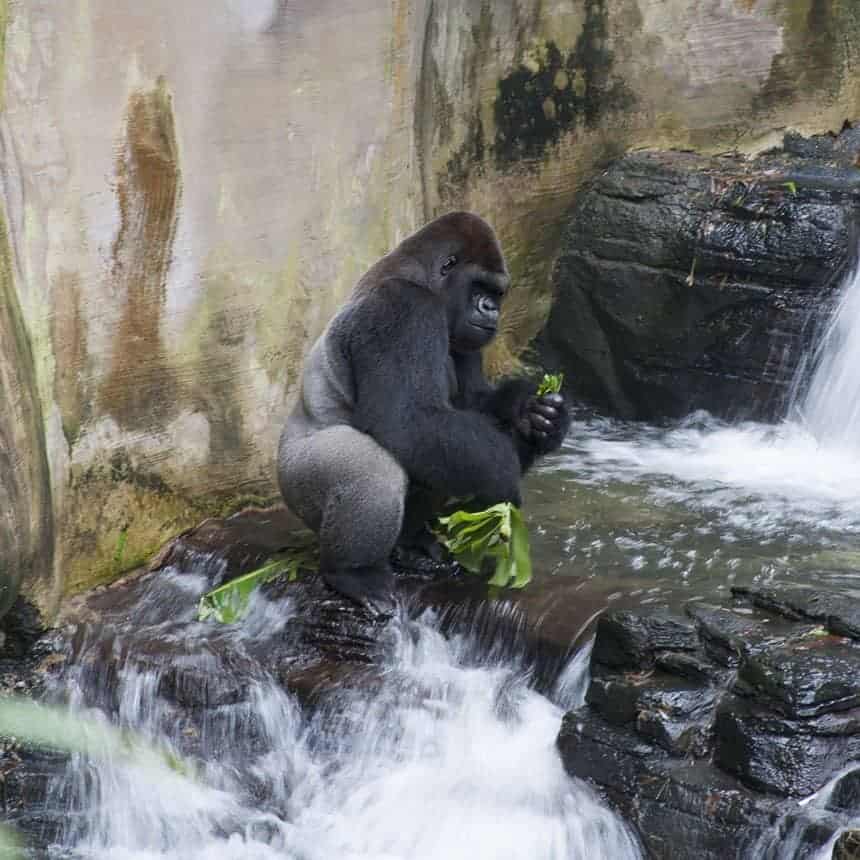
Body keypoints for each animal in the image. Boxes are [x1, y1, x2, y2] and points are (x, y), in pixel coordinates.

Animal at [278, 215, 572, 620]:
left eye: (497, 293)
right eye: (479, 286)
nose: (491, 309)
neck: (420, 276)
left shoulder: (463, 336)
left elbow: (472, 404)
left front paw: (534, 414)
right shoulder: (403, 308)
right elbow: (409, 422)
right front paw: (504, 478)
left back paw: (412, 544)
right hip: (295, 481)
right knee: (371, 468)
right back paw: (352, 573)